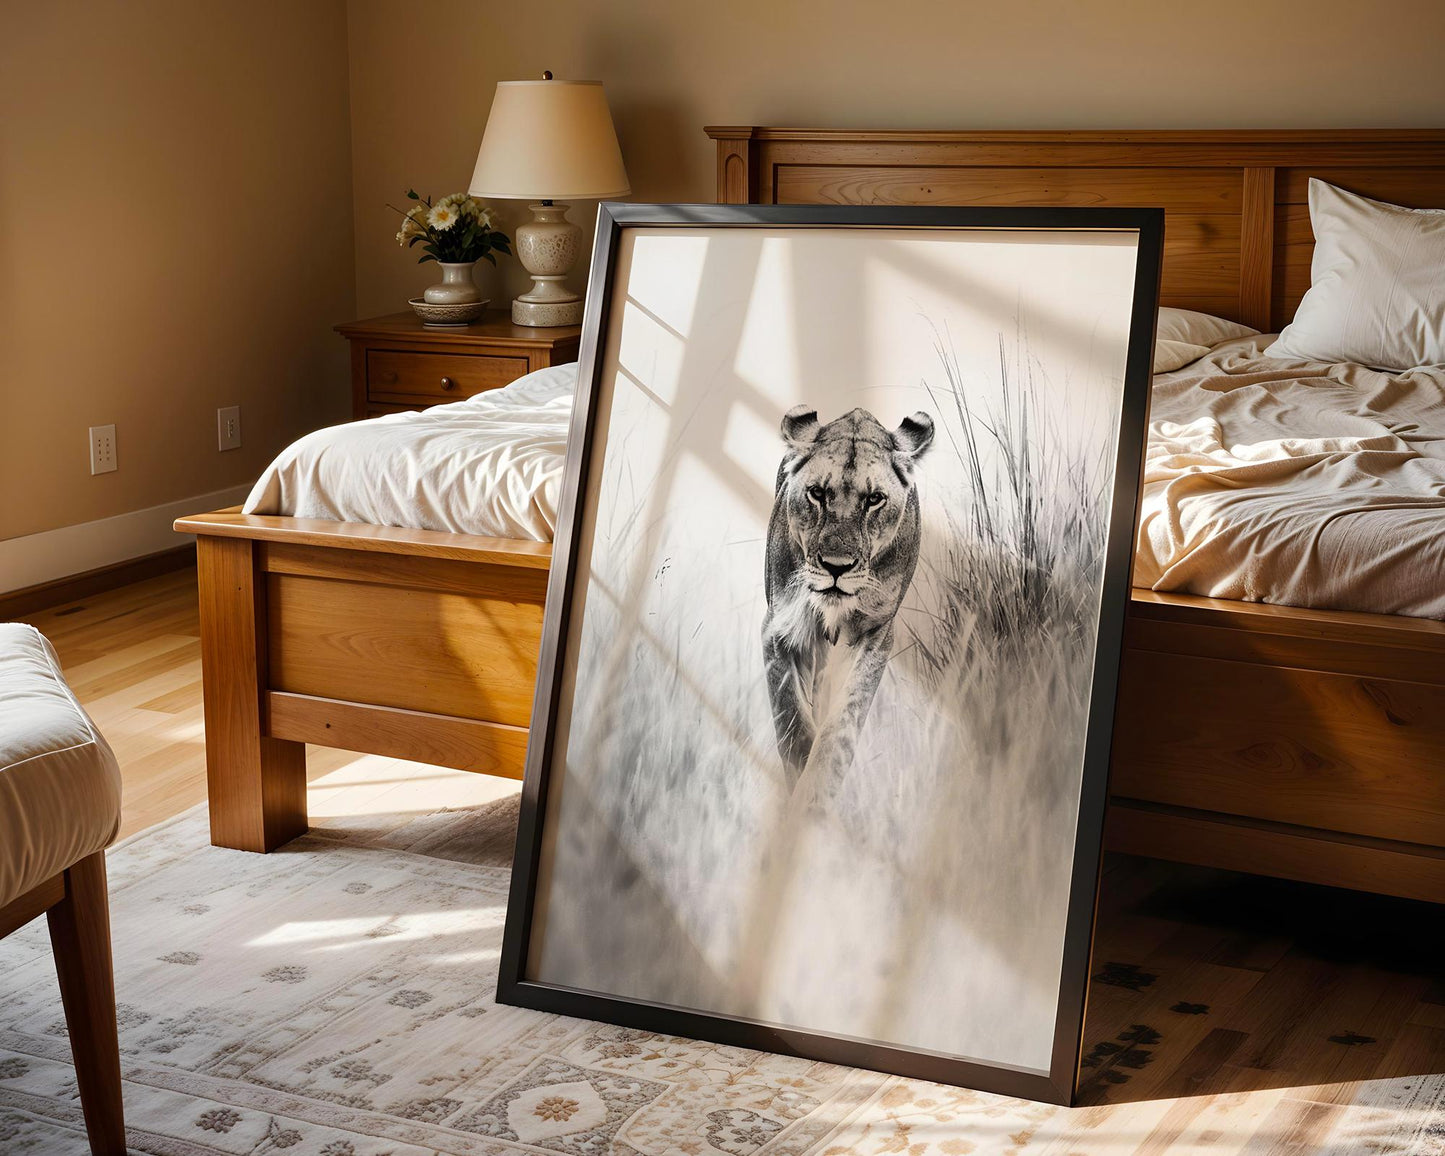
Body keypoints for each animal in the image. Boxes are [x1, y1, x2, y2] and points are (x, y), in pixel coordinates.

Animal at [762, 404, 934, 788]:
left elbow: (843, 722)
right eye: (816, 493)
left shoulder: (877, 633)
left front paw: (817, 790)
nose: (836, 567)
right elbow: (791, 720)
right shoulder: (779, 627)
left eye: (874, 499)